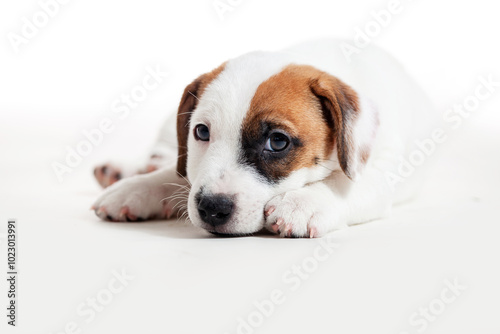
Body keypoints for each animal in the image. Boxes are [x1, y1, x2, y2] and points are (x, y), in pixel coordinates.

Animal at [92, 39, 436, 237]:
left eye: (278, 142)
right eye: (201, 132)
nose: (211, 207)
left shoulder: (379, 172)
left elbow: (345, 183)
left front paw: (304, 202)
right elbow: (179, 173)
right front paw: (139, 188)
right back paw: (128, 171)